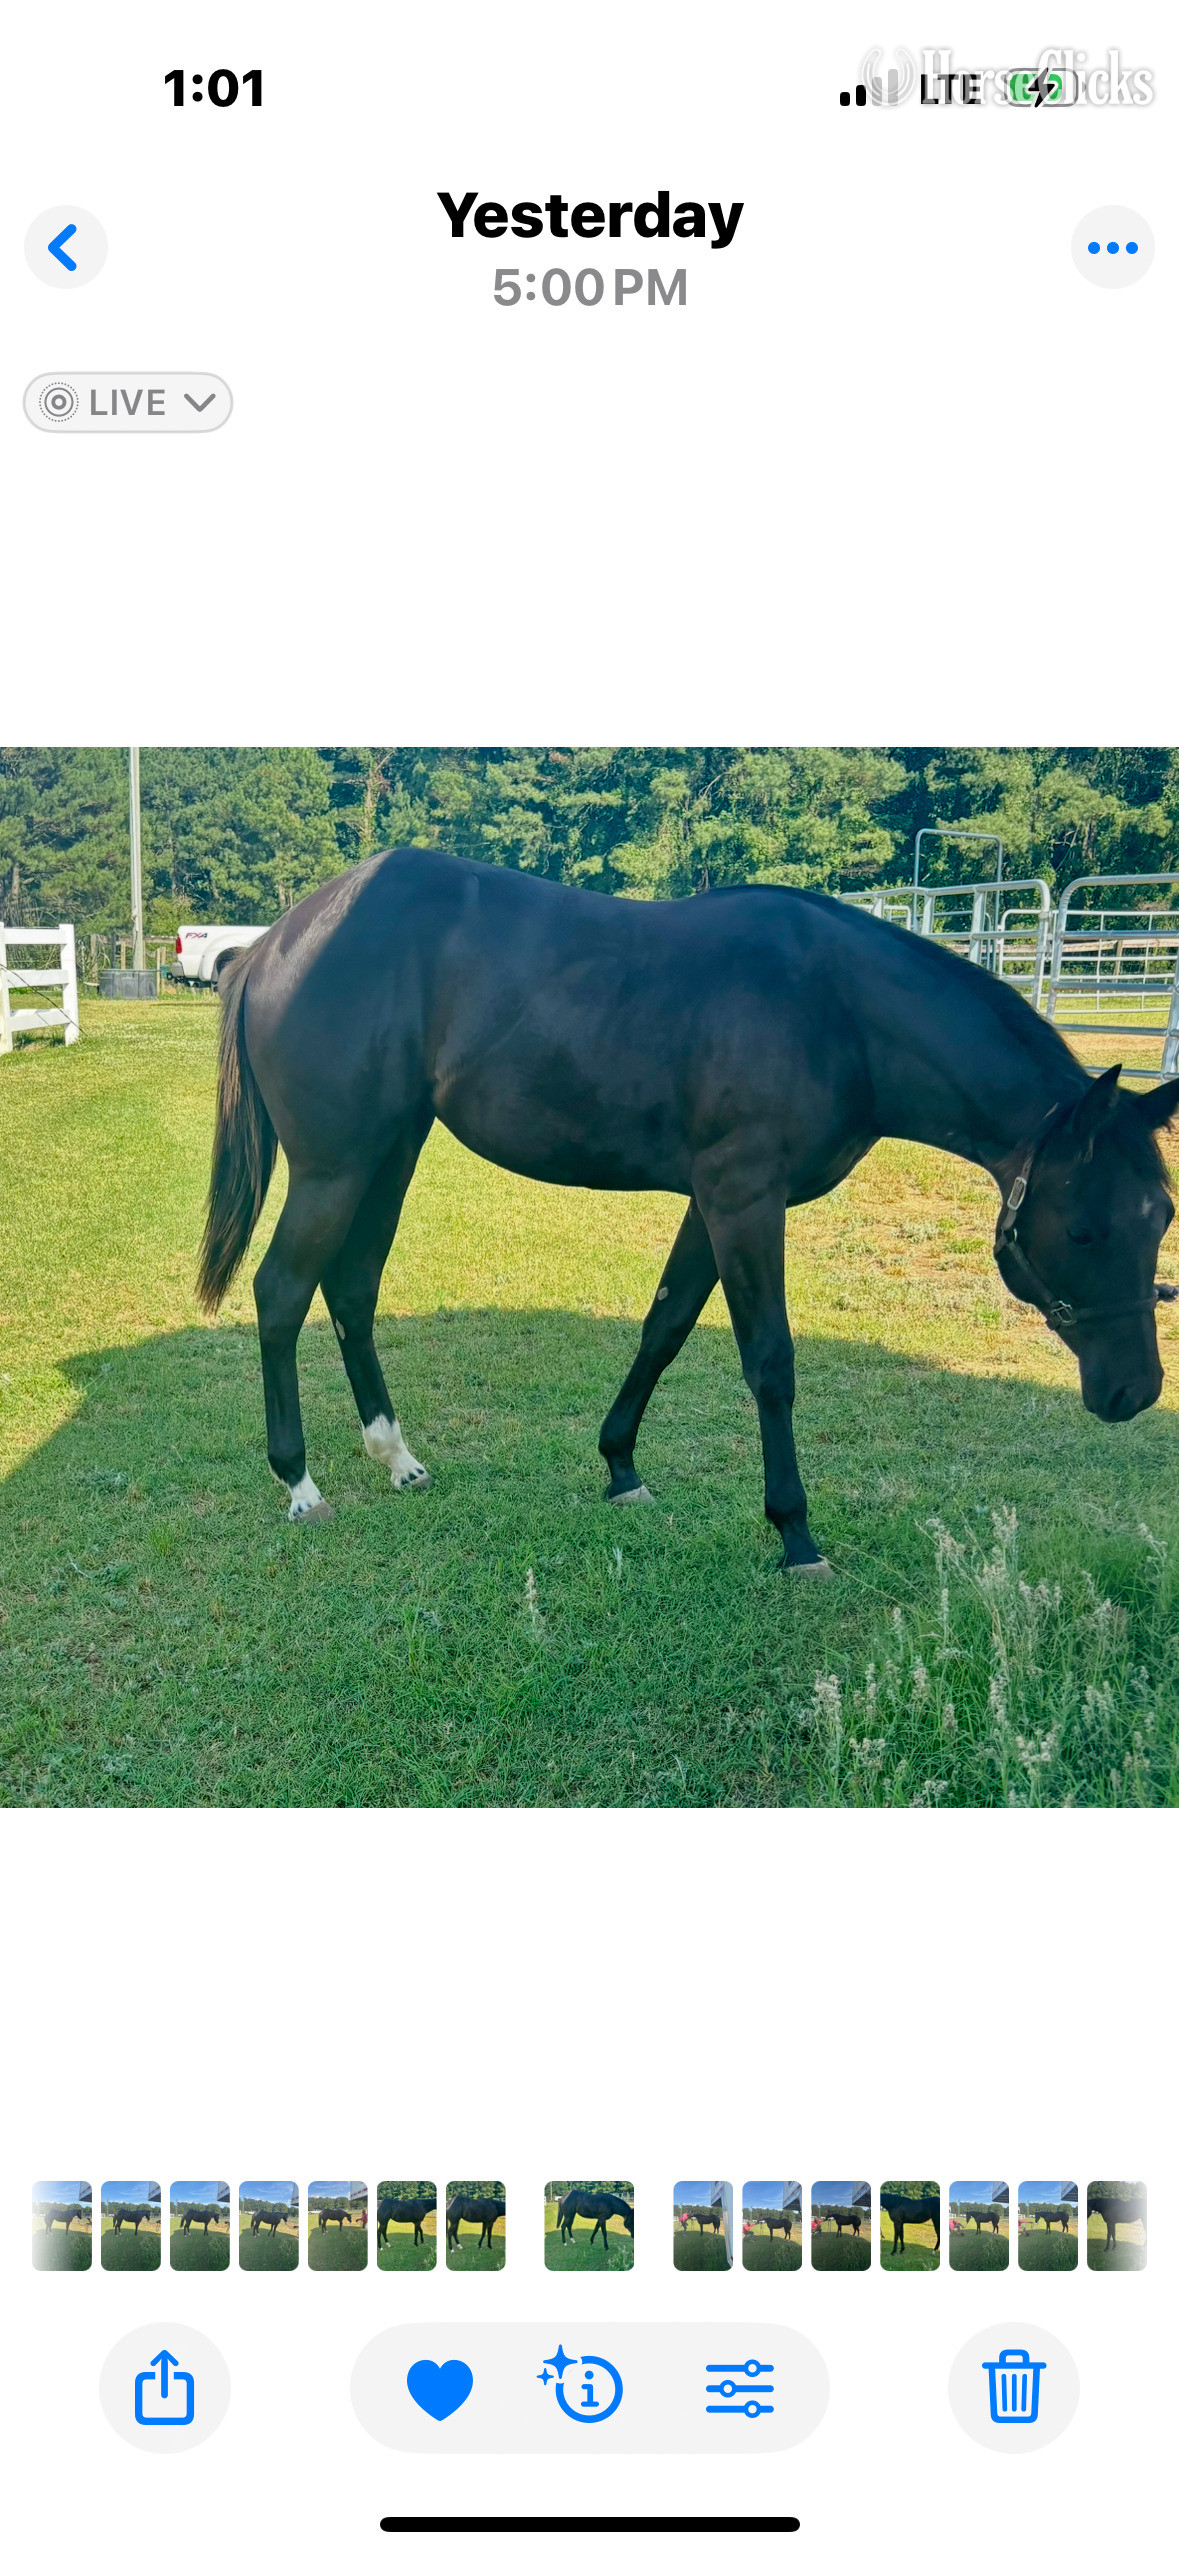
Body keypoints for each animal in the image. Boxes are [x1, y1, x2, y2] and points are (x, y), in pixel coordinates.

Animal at [196, 851, 1177, 1574]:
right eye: (1085, 1229)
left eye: (1160, 1216)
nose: (1134, 1392)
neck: (836, 1012)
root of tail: (276, 943)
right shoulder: (744, 1200)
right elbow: (769, 1362)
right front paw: (794, 1532)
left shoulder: (711, 1206)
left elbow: (663, 1326)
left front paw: (620, 1466)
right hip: (334, 1167)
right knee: (282, 1292)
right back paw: (300, 1482)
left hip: (389, 1155)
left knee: (351, 1290)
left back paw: (396, 1458)